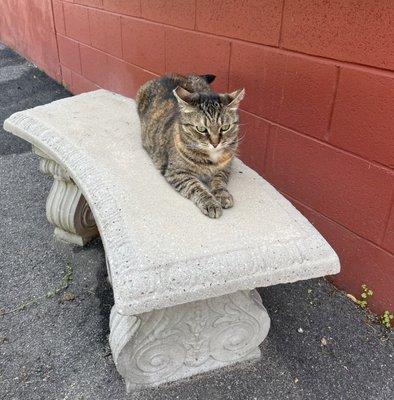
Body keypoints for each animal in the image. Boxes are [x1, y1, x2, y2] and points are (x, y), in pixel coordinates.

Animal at [137, 74, 245, 219]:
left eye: (225, 127)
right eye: (201, 129)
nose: (215, 143)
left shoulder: (225, 168)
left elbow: (219, 181)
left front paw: (222, 194)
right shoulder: (178, 173)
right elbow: (196, 188)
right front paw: (211, 203)